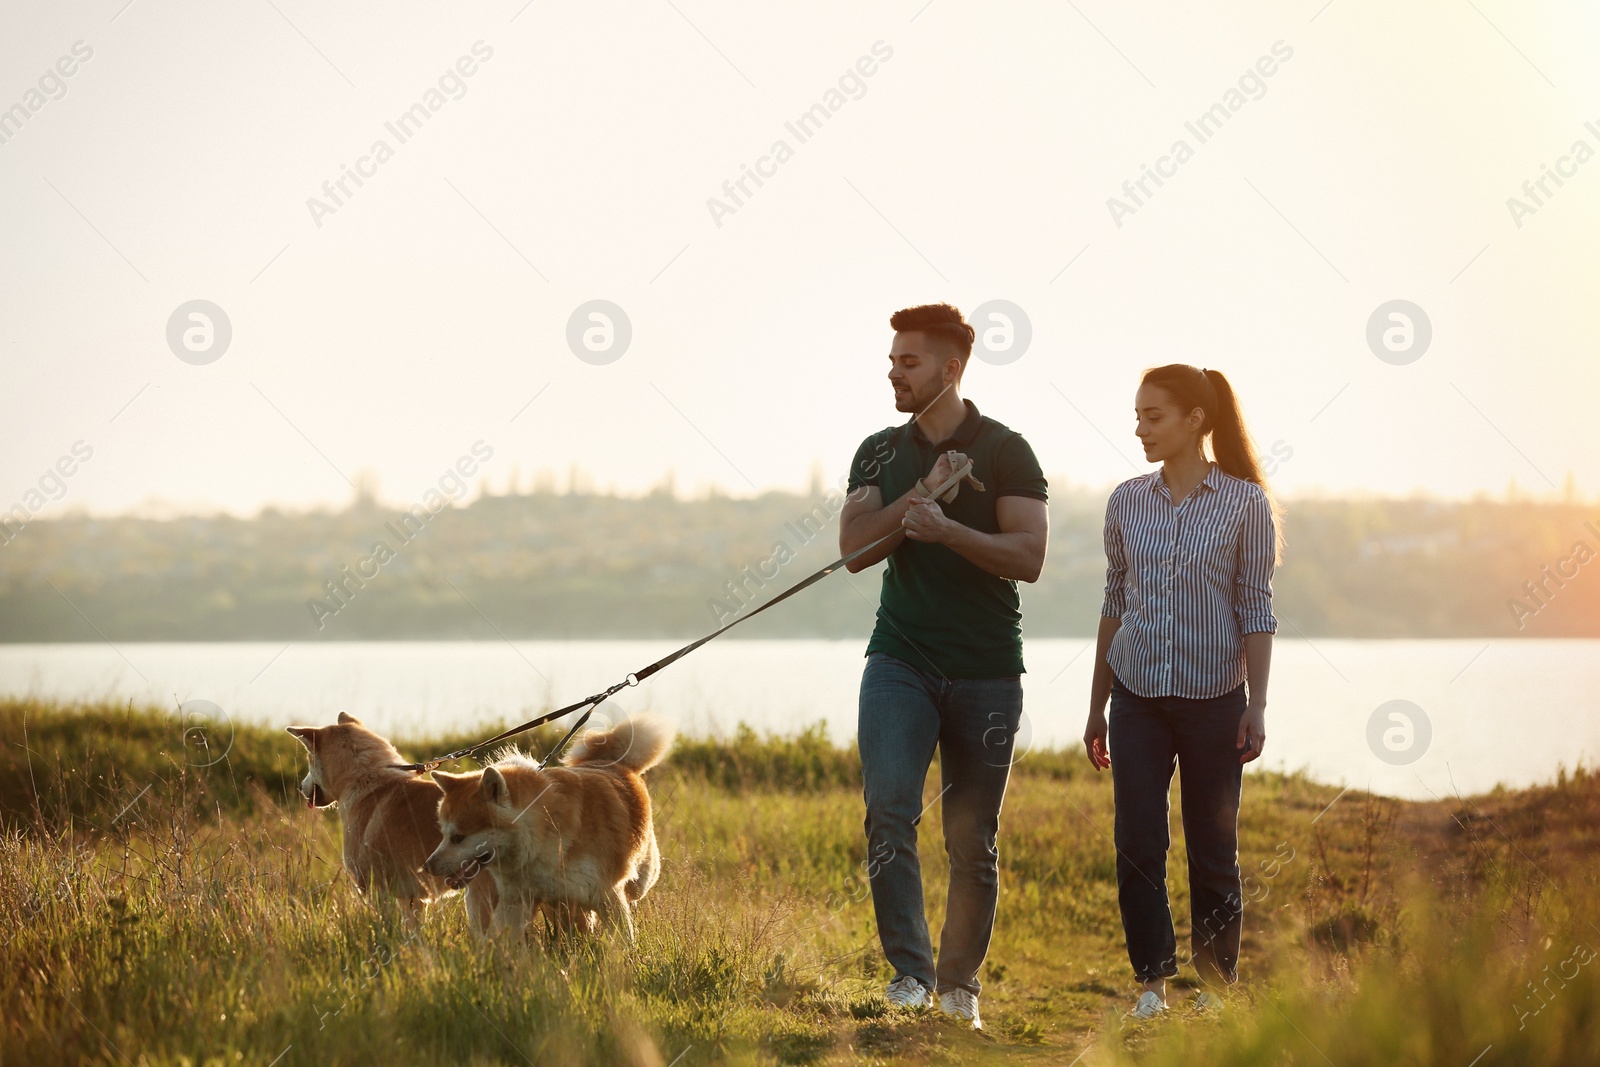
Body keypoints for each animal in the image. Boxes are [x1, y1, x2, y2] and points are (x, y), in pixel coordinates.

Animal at [422, 713, 672, 940]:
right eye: (443, 835)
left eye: (458, 837)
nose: (427, 867)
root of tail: (609, 762)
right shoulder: (516, 902)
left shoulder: (607, 895)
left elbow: (623, 942)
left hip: (638, 881)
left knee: (631, 893)